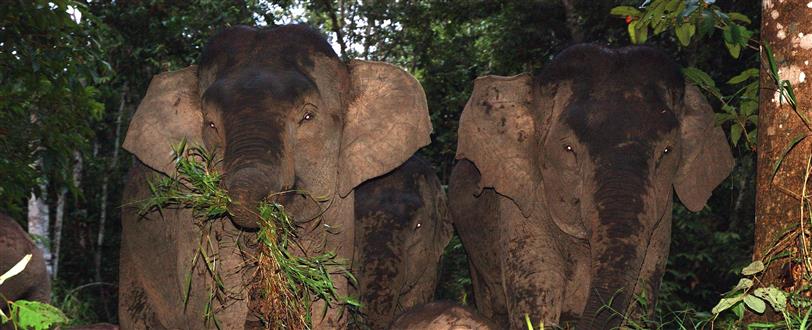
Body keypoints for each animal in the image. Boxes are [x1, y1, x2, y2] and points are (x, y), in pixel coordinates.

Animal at [450, 44, 736, 330]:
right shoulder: (519, 206)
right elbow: (537, 297)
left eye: (667, 151)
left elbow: (641, 295)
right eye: (568, 149)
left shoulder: (662, 218)